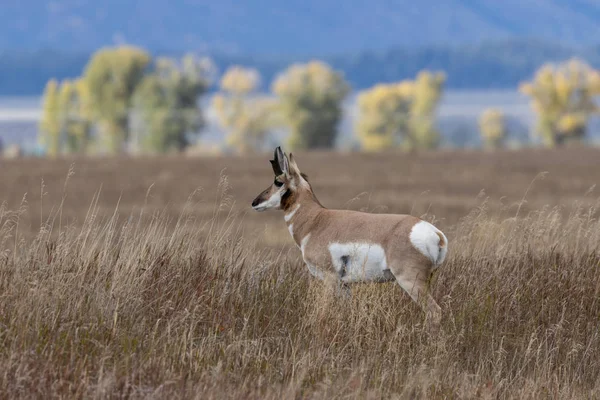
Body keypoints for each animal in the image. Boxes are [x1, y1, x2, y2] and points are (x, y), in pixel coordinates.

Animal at [251, 147, 448, 324]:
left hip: (410, 281)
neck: (316, 221)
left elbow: (325, 312)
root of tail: (435, 233)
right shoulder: (344, 285)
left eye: (278, 181)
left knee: (435, 312)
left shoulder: (330, 279)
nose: (254, 203)